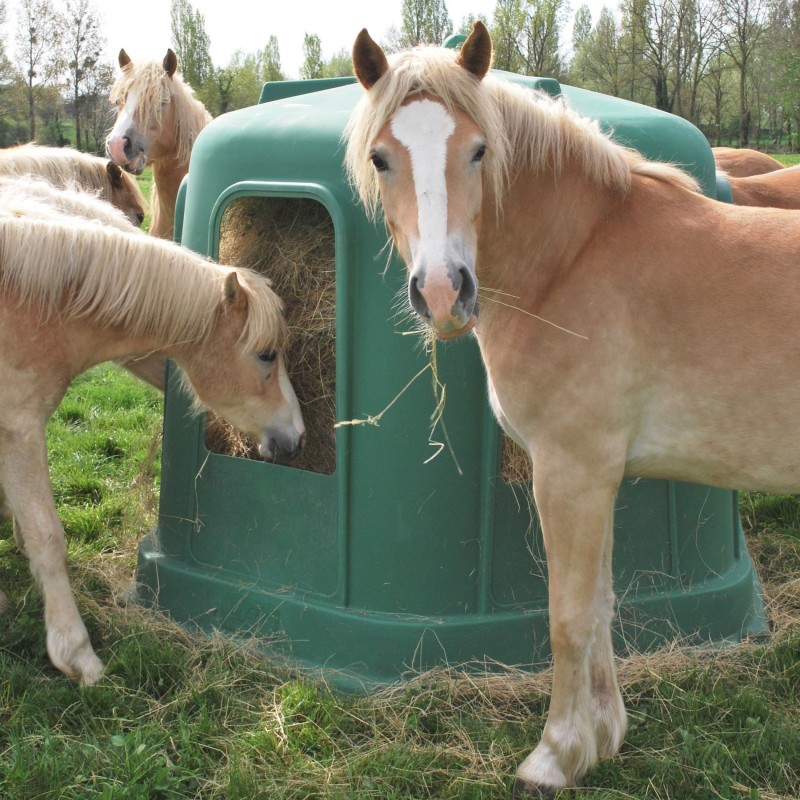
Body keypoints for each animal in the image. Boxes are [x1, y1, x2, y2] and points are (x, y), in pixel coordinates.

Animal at [0, 191, 305, 686]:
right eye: (266, 354)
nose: (297, 437)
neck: (33, 303)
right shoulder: (20, 427)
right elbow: (47, 538)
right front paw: (76, 655)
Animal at [346, 22, 800, 796]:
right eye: (382, 158)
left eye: (478, 150)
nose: (443, 292)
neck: (573, 259)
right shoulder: (601, 476)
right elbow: (601, 606)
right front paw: (605, 735)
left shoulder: (571, 473)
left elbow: (566, 616)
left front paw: (555, 754)